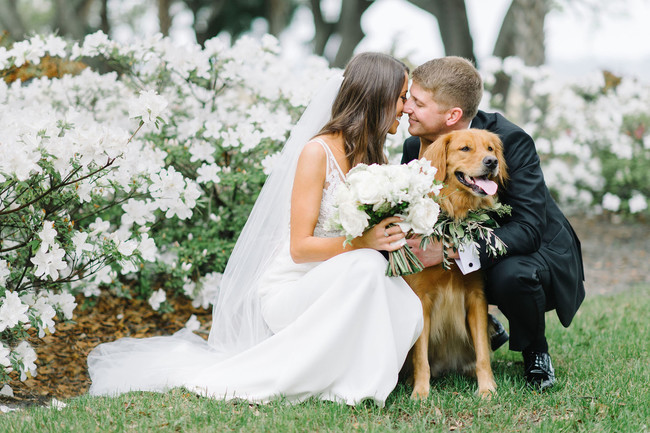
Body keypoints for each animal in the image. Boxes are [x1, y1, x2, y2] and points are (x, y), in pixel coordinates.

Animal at [402, 128, 508, 398]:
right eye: (465, 148)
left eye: (490, 148)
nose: (491, 162)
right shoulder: (421, 299)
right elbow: (421, 357)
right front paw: (420, 392)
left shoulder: (476, 297)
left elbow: (483, 354)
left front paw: (487, 388)